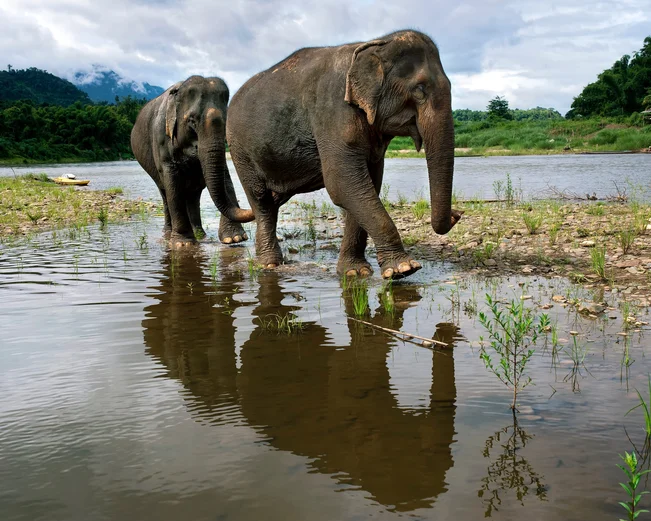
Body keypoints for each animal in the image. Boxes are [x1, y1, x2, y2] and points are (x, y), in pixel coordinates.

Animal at [130, 75, 254, 246]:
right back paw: (168, 234)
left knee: (193, 195)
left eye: (227, 121)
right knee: (165, 192)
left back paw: (200, 234)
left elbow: (225, 176)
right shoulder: (161, 138)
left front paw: (234, 238)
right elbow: (173, 184)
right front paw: (183, 243)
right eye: (191, 121)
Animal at [222, 30, 462, 279]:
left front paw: (355, 272)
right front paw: (403, 270)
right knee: (261, 199)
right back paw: (269, 265)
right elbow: (343, 184)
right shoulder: (332, 113)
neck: (374, 44)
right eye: (420, 89)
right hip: (239, 149)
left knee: (274, 199)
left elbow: (367, 185)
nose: (457, 214)